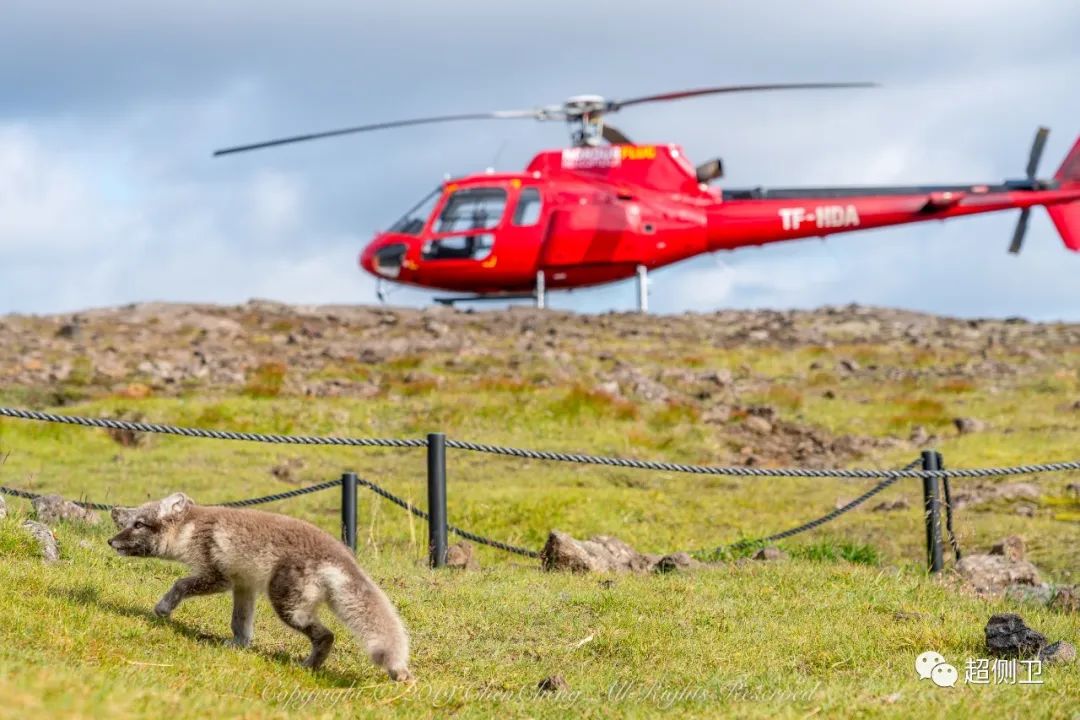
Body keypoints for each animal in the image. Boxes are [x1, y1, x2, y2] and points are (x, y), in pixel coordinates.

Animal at [109, 490, 410, 682]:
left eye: (139, 524)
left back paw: (307, 666)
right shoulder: (244, 585)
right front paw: (239, 645)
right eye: (129, 520)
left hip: (287, 605)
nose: (110, 541)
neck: (191, 529)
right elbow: (240, 622)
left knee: (327, 635)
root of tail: (342, 555)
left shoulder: (217, 577)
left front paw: (163, 608)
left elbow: (180, 584)